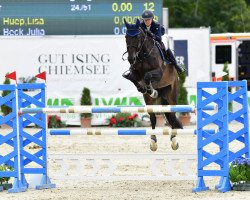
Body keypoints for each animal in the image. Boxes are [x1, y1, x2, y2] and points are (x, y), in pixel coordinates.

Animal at [123, 18, 184, 151]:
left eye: (137, 37)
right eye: (126, 37)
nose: (131, 59)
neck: (143, 55)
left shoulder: (159, 73)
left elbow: (147, 76)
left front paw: (152, 90)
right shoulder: (135, 72)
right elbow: (133, 78)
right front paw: (143, 88)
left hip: (172, 94)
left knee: (172, 115)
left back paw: (174, 141)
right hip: (151, 100)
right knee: (153, 118)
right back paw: (153, 141)